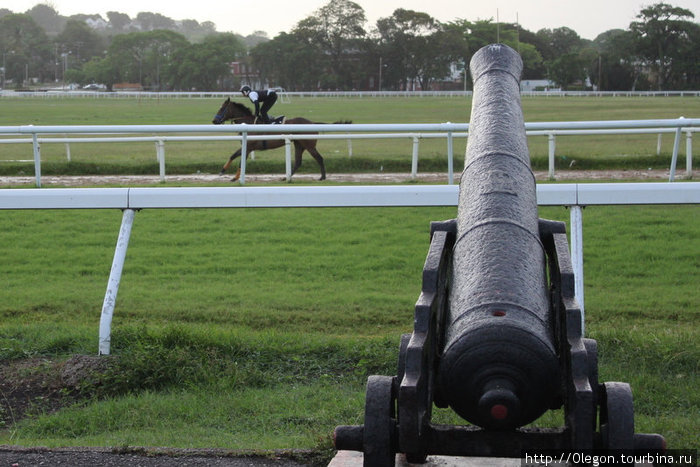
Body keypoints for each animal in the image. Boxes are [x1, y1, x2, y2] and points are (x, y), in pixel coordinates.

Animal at [209, 98, 348, 181]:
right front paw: (223, 171)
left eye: (222, 108)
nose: (214, 121)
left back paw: (322, 177)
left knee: (319, 158)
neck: (248, 123)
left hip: (309, 145)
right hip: (299, 144)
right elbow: (233, 156)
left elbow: (240, 160)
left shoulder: (249, 147)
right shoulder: (247, 146)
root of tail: (312, 123)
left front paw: (235, 177)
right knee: (298, 162)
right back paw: (286, 177)